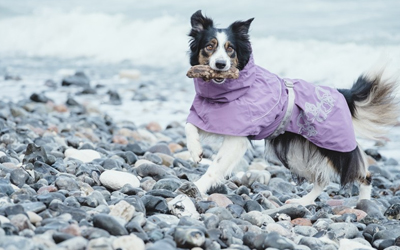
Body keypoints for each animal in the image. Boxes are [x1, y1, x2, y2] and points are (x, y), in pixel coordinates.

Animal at [186, 9, 398, 205]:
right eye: (209, 46)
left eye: (230, 49)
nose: (221, 64)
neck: (224, 92)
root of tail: (341, 93)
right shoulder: (211, 117)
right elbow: (189, 125)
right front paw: (195, 152)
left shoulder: (237, 137)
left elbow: (215, 166)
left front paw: (197, 186)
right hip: (298, 152)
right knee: (322, 180)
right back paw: (302, 202)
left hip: (335, 148)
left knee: (363, 175)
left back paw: (363, 204)